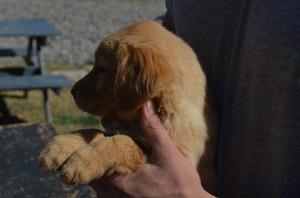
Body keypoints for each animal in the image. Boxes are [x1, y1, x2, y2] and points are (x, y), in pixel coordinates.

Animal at [40, 20, 218, 194]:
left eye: (101, 68)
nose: (72, 91)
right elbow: (96, 131)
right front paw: (60, 146)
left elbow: (121, 141)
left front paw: (82, 162)